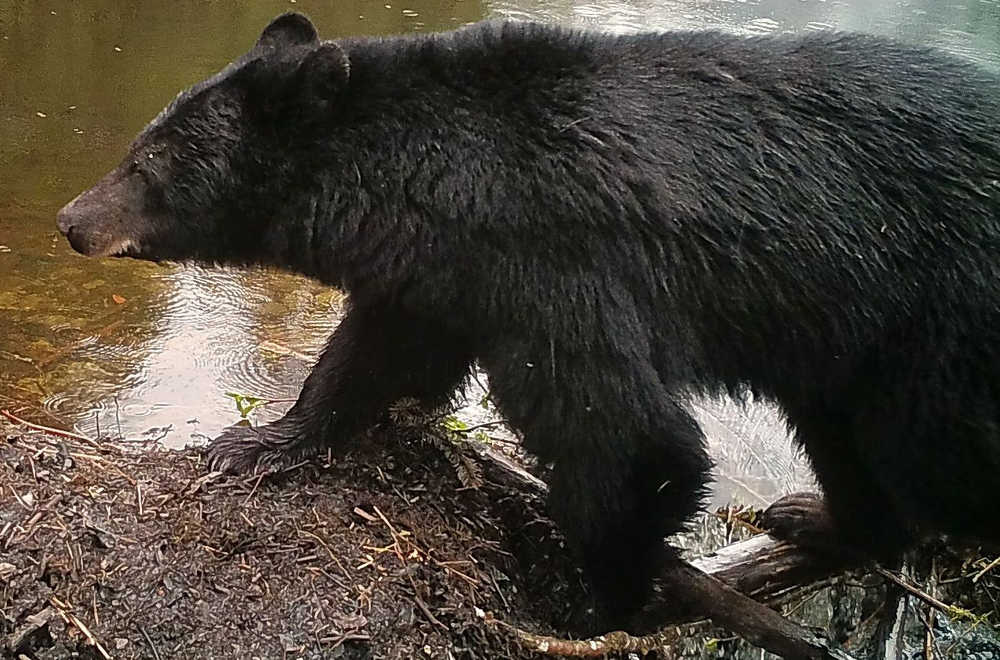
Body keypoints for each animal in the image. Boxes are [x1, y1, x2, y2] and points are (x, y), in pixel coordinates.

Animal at [56, 12, 1000, 631]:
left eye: (146, 162)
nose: (70, 220)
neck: (446, 185)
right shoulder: (454, 275)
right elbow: (373, 355)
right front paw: (259, 441)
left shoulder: (562, 265)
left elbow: (627, 436)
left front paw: (603, 603)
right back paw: (816, 517)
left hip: (936, 331)